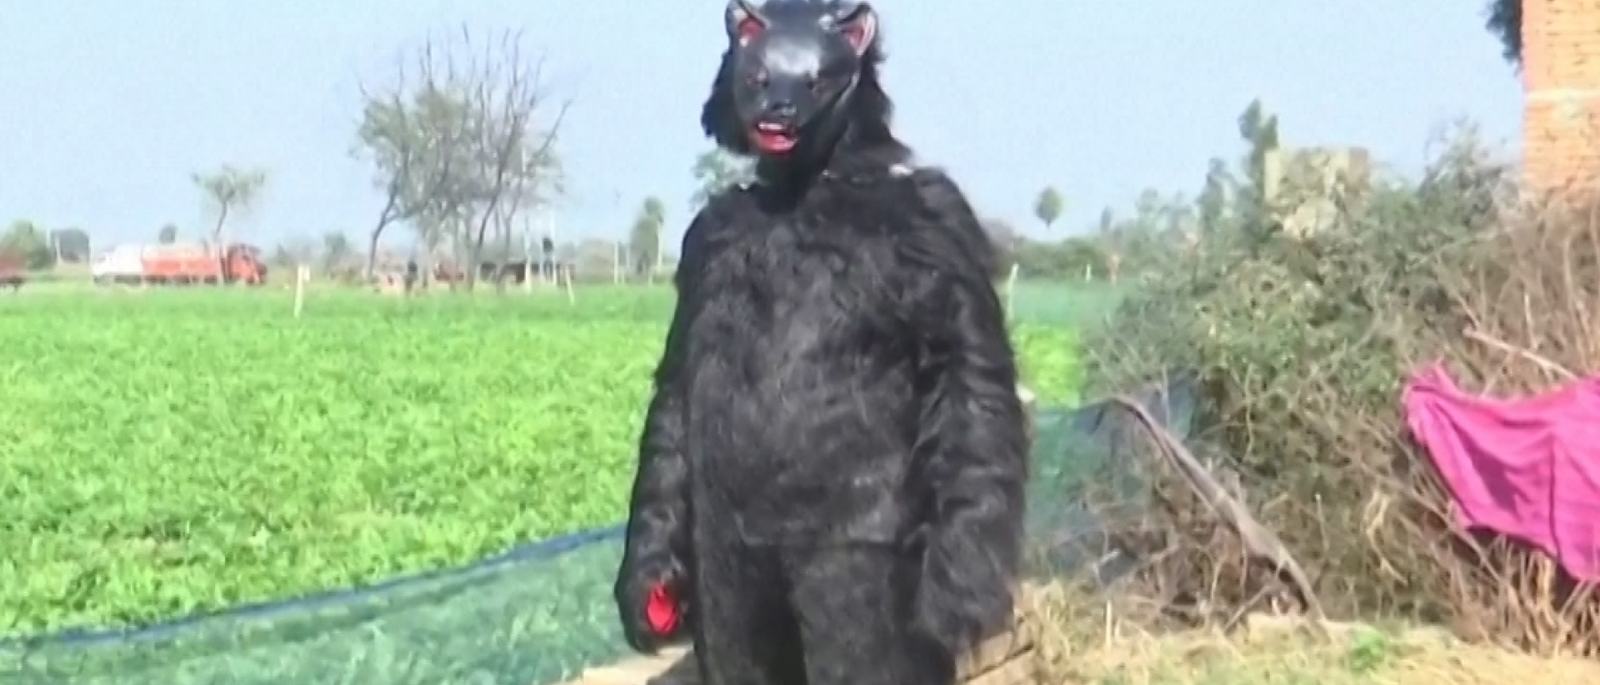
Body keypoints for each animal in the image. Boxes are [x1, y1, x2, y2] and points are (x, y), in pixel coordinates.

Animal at [614, 2, 1029, 683]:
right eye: (758, 78)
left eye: (813, 79)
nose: (775, 113)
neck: (803, 187)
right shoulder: (704, 244)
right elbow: (675, 392)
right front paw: (647, 583)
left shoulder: (938, 224)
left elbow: (964, 368)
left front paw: (958, 594)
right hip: (727, 570)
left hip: (847, 567)